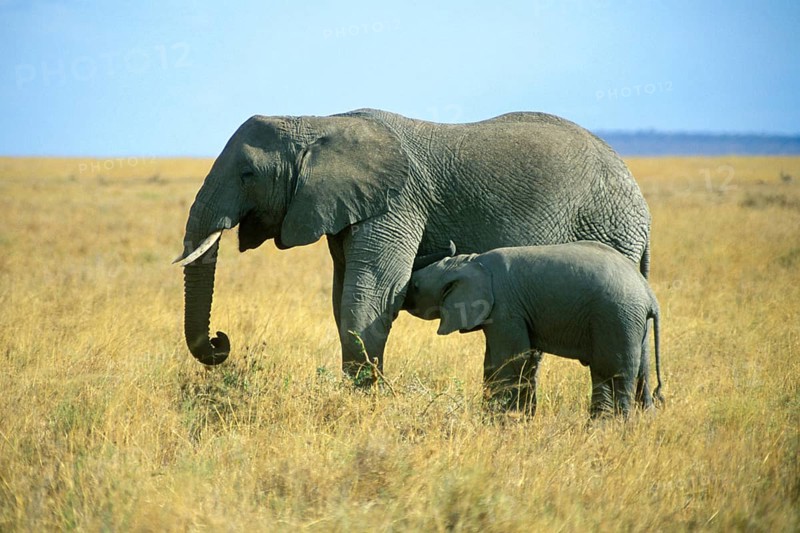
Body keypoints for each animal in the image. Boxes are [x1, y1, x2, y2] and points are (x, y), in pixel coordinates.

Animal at [175, 108, 652, 398]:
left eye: (247, 174)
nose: (221, 342)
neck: (317, 122)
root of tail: (638, 195)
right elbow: (342, 299)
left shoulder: (397, 203)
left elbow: (371, 295)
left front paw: (366, 403)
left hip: (609, 229)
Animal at [405, 241, 664, 417]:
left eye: (415, 286)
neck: (470, 262)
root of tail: (649, 295)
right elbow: (506, 360)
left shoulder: (505, 307)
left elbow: (510, 360)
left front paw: (501, 421)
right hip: (633, 322)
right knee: (640, 370)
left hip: (615, 316)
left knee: (610, 372)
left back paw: (606, 428)